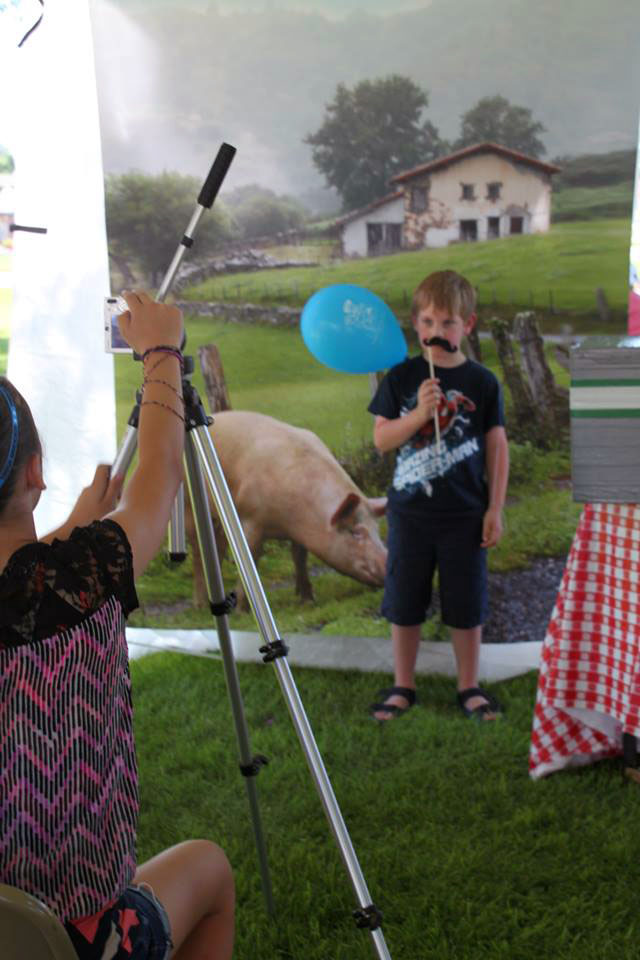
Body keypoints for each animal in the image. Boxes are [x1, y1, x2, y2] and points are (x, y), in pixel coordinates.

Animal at [184, 406, 384, 604]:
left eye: (376, 529)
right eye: (355, 532)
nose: (386, 559)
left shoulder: (299, 531)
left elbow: (299, 557)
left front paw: (307, 600)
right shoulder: (251, 518)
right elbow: (252, 556)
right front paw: (242, 608)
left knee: (217, 546)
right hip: (189, 505)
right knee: (197, 552)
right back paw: (200, 605)